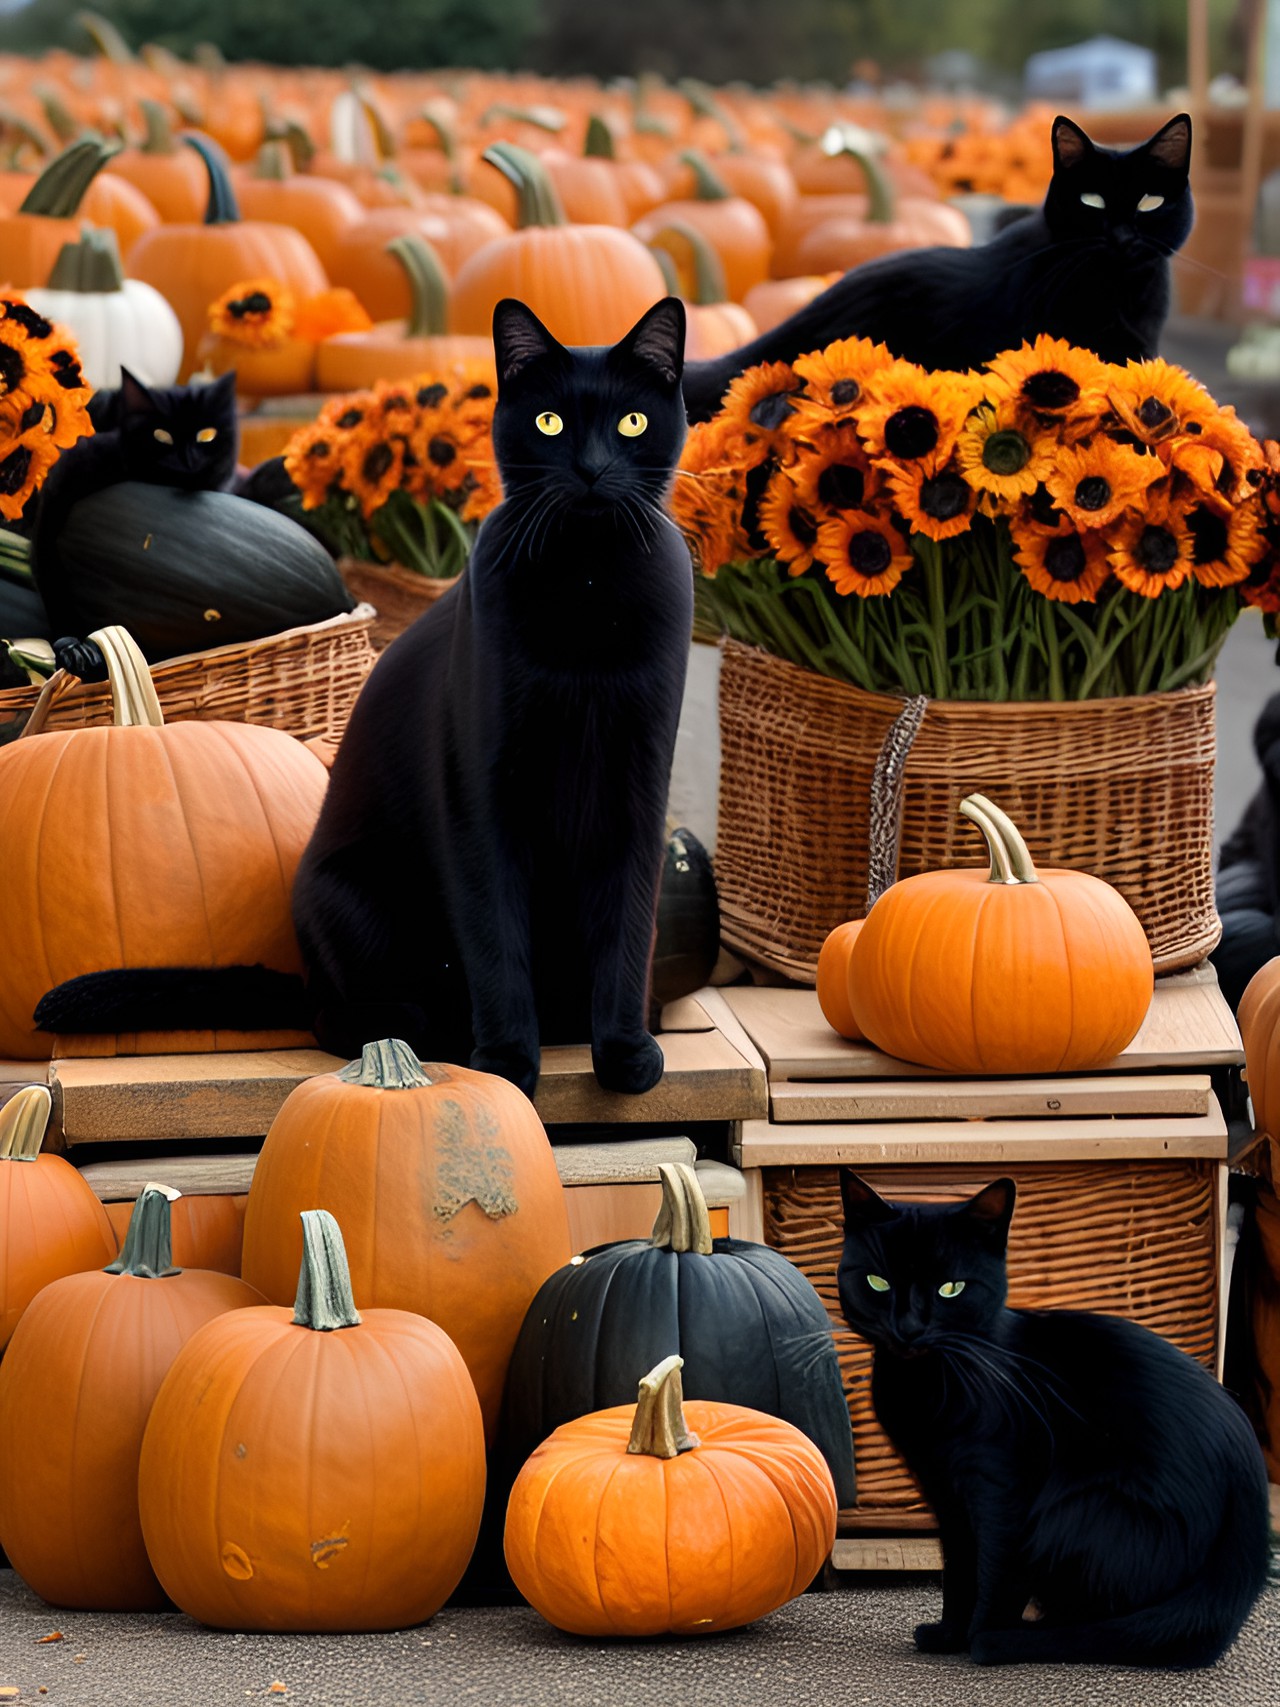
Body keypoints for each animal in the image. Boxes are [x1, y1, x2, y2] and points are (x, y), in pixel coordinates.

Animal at [836, 1174, 1269, 1666]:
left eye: (951, 1289)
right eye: (878, 1283)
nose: (909, 1329)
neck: (925, 1385)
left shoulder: (1004, 1490)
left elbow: (996, 1572)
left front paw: (979, 1639)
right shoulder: (945, 1492)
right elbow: (960, 1569)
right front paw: (949, 1635)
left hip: (1069, 1512)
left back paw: (1024, 1636)